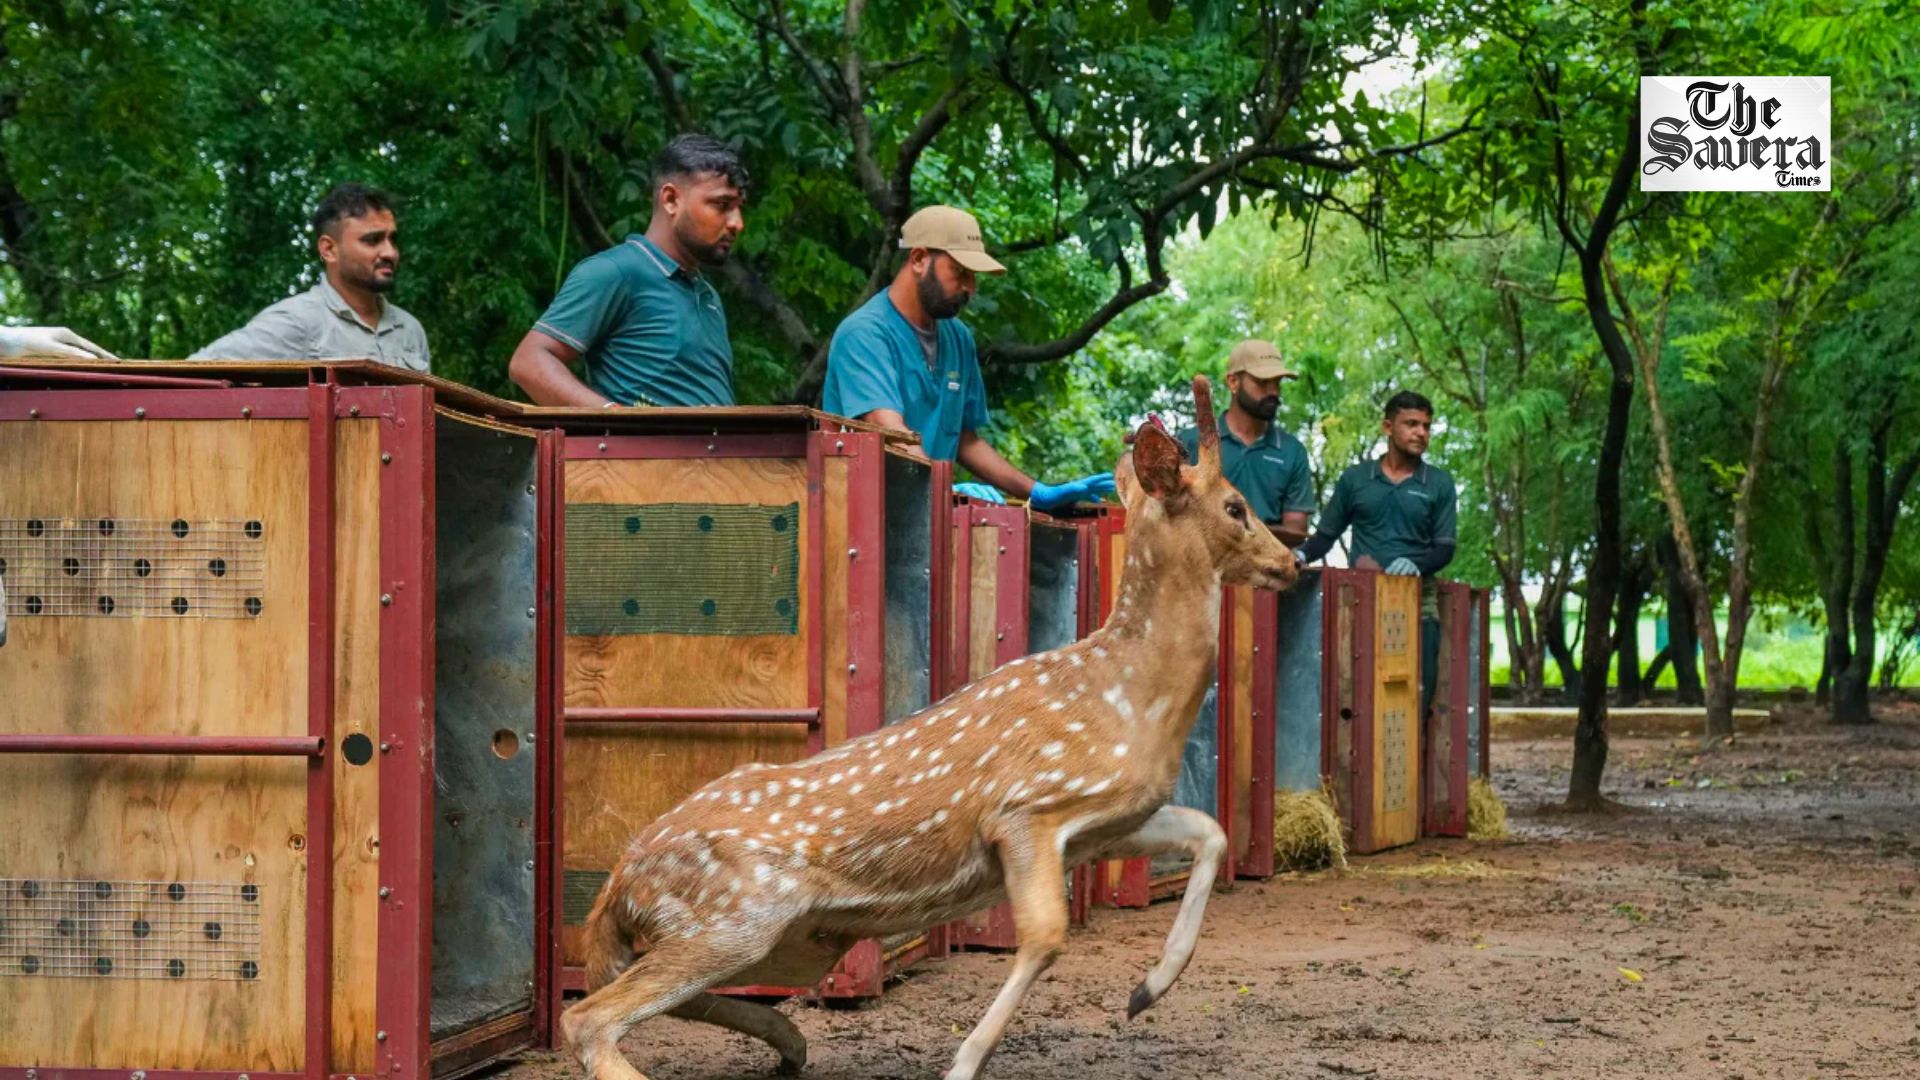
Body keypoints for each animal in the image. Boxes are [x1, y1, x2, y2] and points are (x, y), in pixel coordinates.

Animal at [561, 375, 1299, 1080]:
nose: (1291, 563)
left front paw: (1147, 990)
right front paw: (964, 1061)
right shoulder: (1026, 808)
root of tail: (618, 884)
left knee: (659, 997)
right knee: (590, 1017)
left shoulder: (1108, 819)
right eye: (1236, 505)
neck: (1132, 697)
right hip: (733, 913)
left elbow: (1211, 831)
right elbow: (1046, 937)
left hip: (788, 936)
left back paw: (791, 1043)